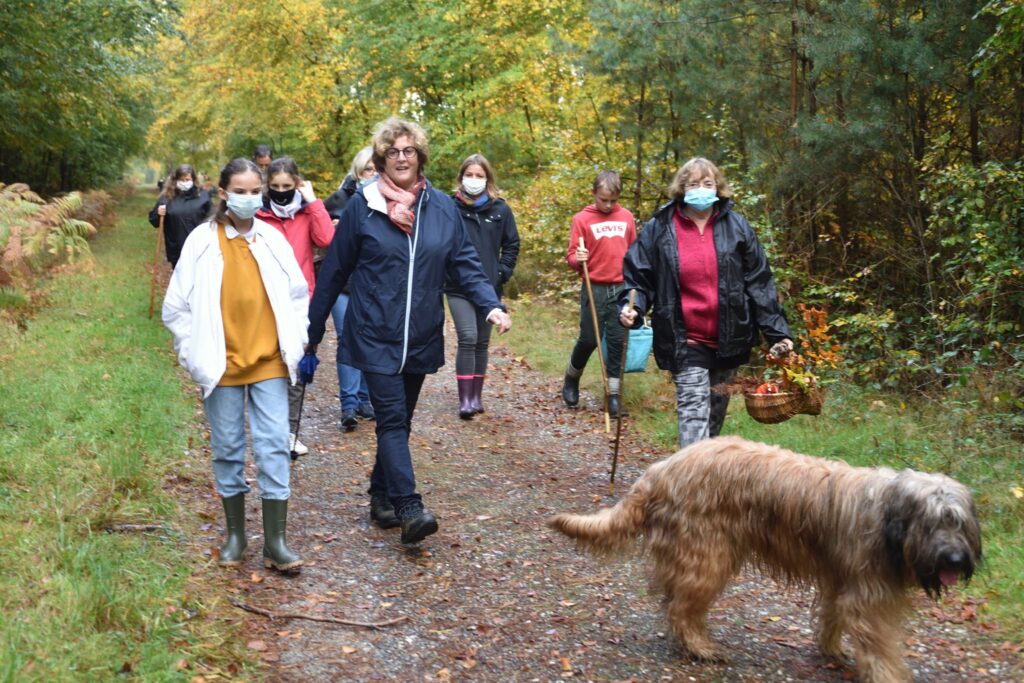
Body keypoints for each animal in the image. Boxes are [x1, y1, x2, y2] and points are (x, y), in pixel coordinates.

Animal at [548, 438, 978, 683]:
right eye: (933, 523)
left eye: (958, 523)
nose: (955, 558)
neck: (889, 514)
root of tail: (661, 469)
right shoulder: (869, 595)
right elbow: (880, 643)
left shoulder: (841, 577)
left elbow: (833, 615)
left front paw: (832, 649)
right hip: (707, 554)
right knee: (682, 607)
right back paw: (701, 647)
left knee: (672, 598)